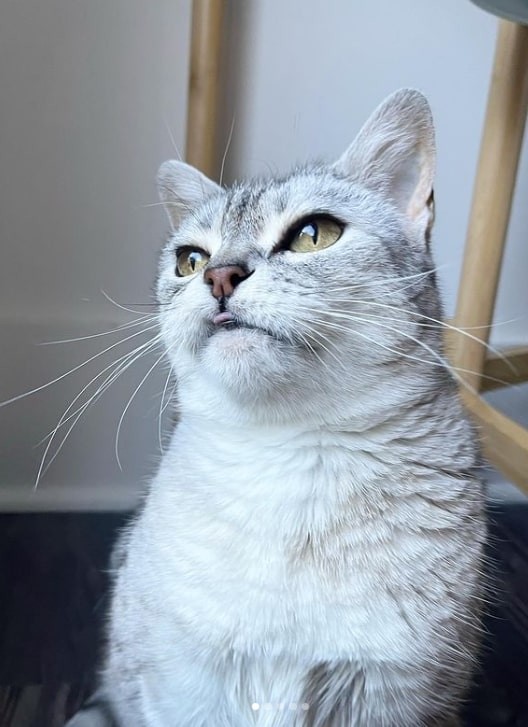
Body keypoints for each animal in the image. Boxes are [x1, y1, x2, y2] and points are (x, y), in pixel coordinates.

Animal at [67, 91, 486, 727]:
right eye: (190, 260)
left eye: (314, 234)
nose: (219, 275)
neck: (290, 454)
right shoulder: (182, 686)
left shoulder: (396, 691)